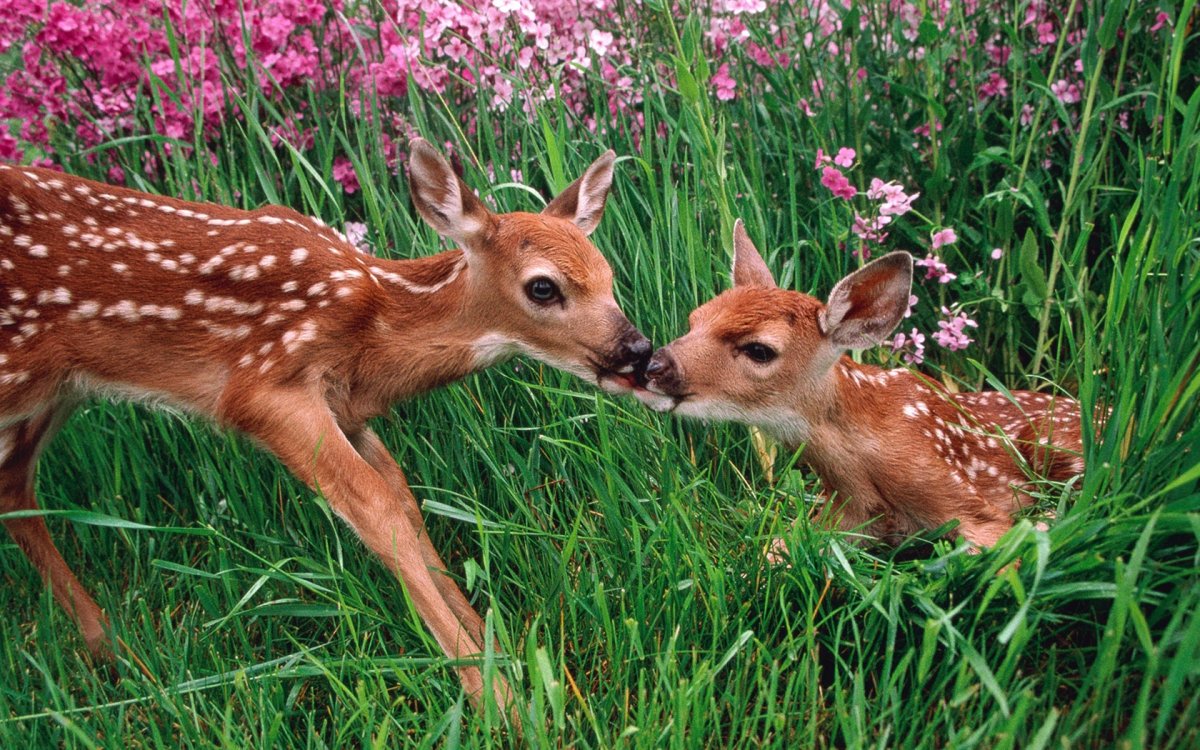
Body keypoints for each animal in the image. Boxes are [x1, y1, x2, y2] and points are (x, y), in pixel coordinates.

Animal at [0, 139, 652, 720]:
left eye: (606, 274)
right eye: (543, 287)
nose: (639, 351)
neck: (371, 325)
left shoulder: (346, 408)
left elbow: (402, 497)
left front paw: (505, 655)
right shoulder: (265, 388)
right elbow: (376, 511)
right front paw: (502, 704)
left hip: (51, 390)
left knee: (14, 487)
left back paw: (112, 652)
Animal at [635, 220, 1085, 549]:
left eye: (760, 350)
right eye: (695, 319)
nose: (654, 364)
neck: (860, 466)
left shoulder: (964, 496)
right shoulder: (843, 515)